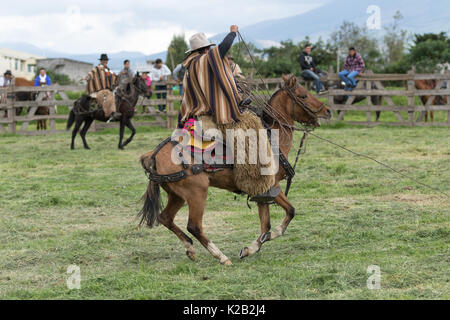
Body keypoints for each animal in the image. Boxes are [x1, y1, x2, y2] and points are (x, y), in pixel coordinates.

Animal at [139, 75, 332, 264]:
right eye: (303, 95)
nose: (328, 111)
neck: (273, 138)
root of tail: (154, 154)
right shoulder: (272, 186)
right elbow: (289, 212)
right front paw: (263, 240)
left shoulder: (263, 192)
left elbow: (266, 225)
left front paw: (250, 248)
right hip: (197, 192)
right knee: (194, 226)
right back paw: (221, 257)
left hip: (177, 195)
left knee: (165, 217)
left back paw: (190, 248)